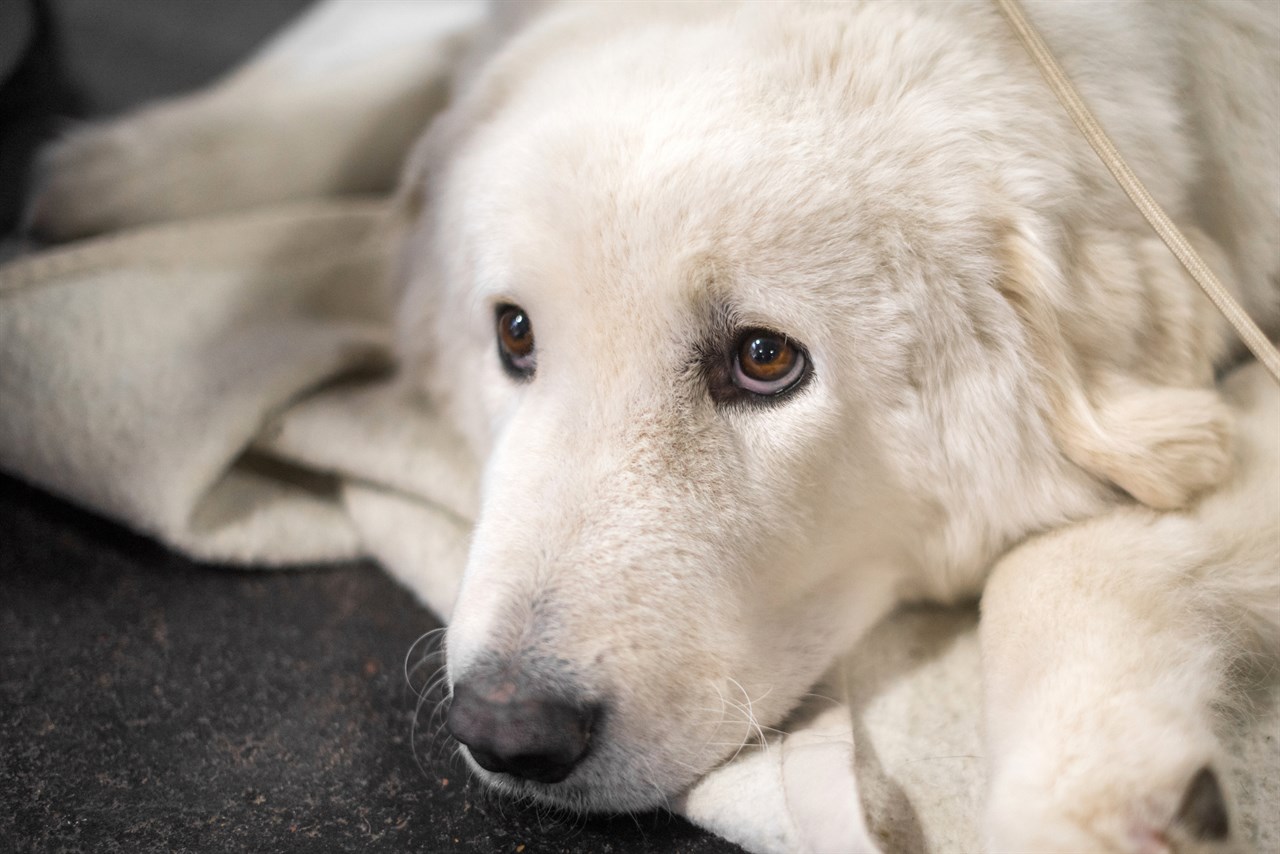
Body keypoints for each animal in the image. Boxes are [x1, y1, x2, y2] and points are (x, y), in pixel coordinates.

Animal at [24, 3, 1274, 850]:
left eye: (764, 359)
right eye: (513, 335)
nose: (507, 727)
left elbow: (1061, 561)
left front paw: (1087, 788)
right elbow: (409, 65)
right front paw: (138, 165)